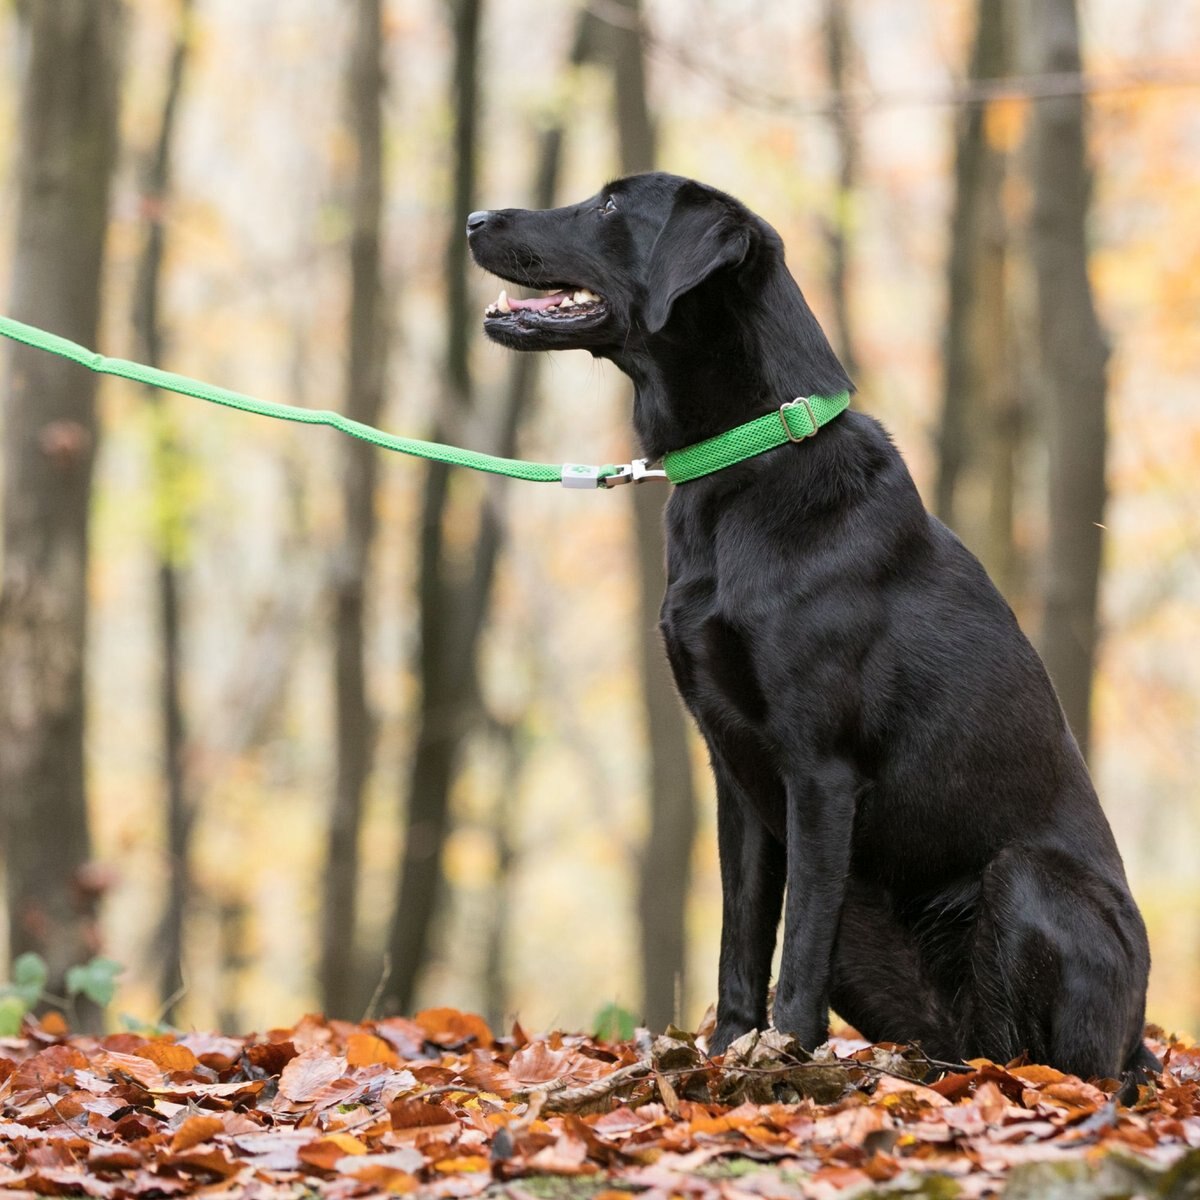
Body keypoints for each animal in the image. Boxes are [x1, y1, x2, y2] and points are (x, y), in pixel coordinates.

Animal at [465, 169, 1152, 1080]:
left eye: (610, 205)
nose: (475, 218)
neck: (750, 455)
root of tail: (1139, 1044)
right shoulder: (736, 775)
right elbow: (743, 939)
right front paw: (726, 1057)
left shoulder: (820, 772)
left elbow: (796, 952)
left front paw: (779, 1061)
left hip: (1025, 882)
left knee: (1043, 1056)